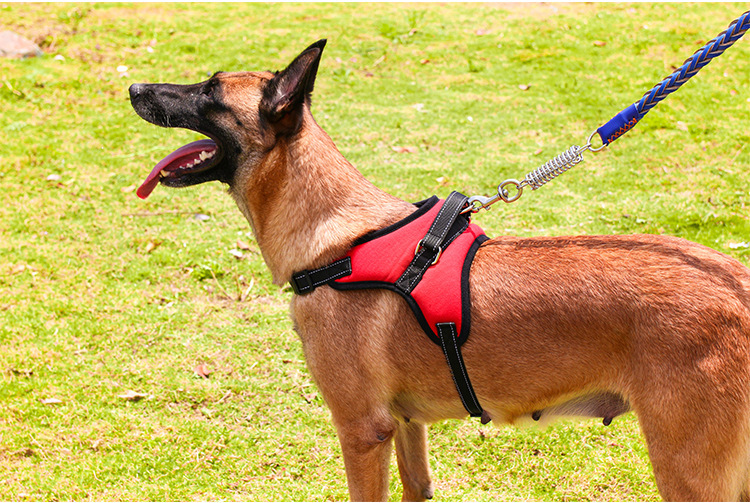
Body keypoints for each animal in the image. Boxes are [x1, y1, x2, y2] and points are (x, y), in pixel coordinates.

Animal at [131, 41, 750, 502]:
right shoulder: (405, 425)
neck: (336, 237)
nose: (134, 88)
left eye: (209, 90)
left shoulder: (362, 431)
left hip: (688, 469)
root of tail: (740, 287)